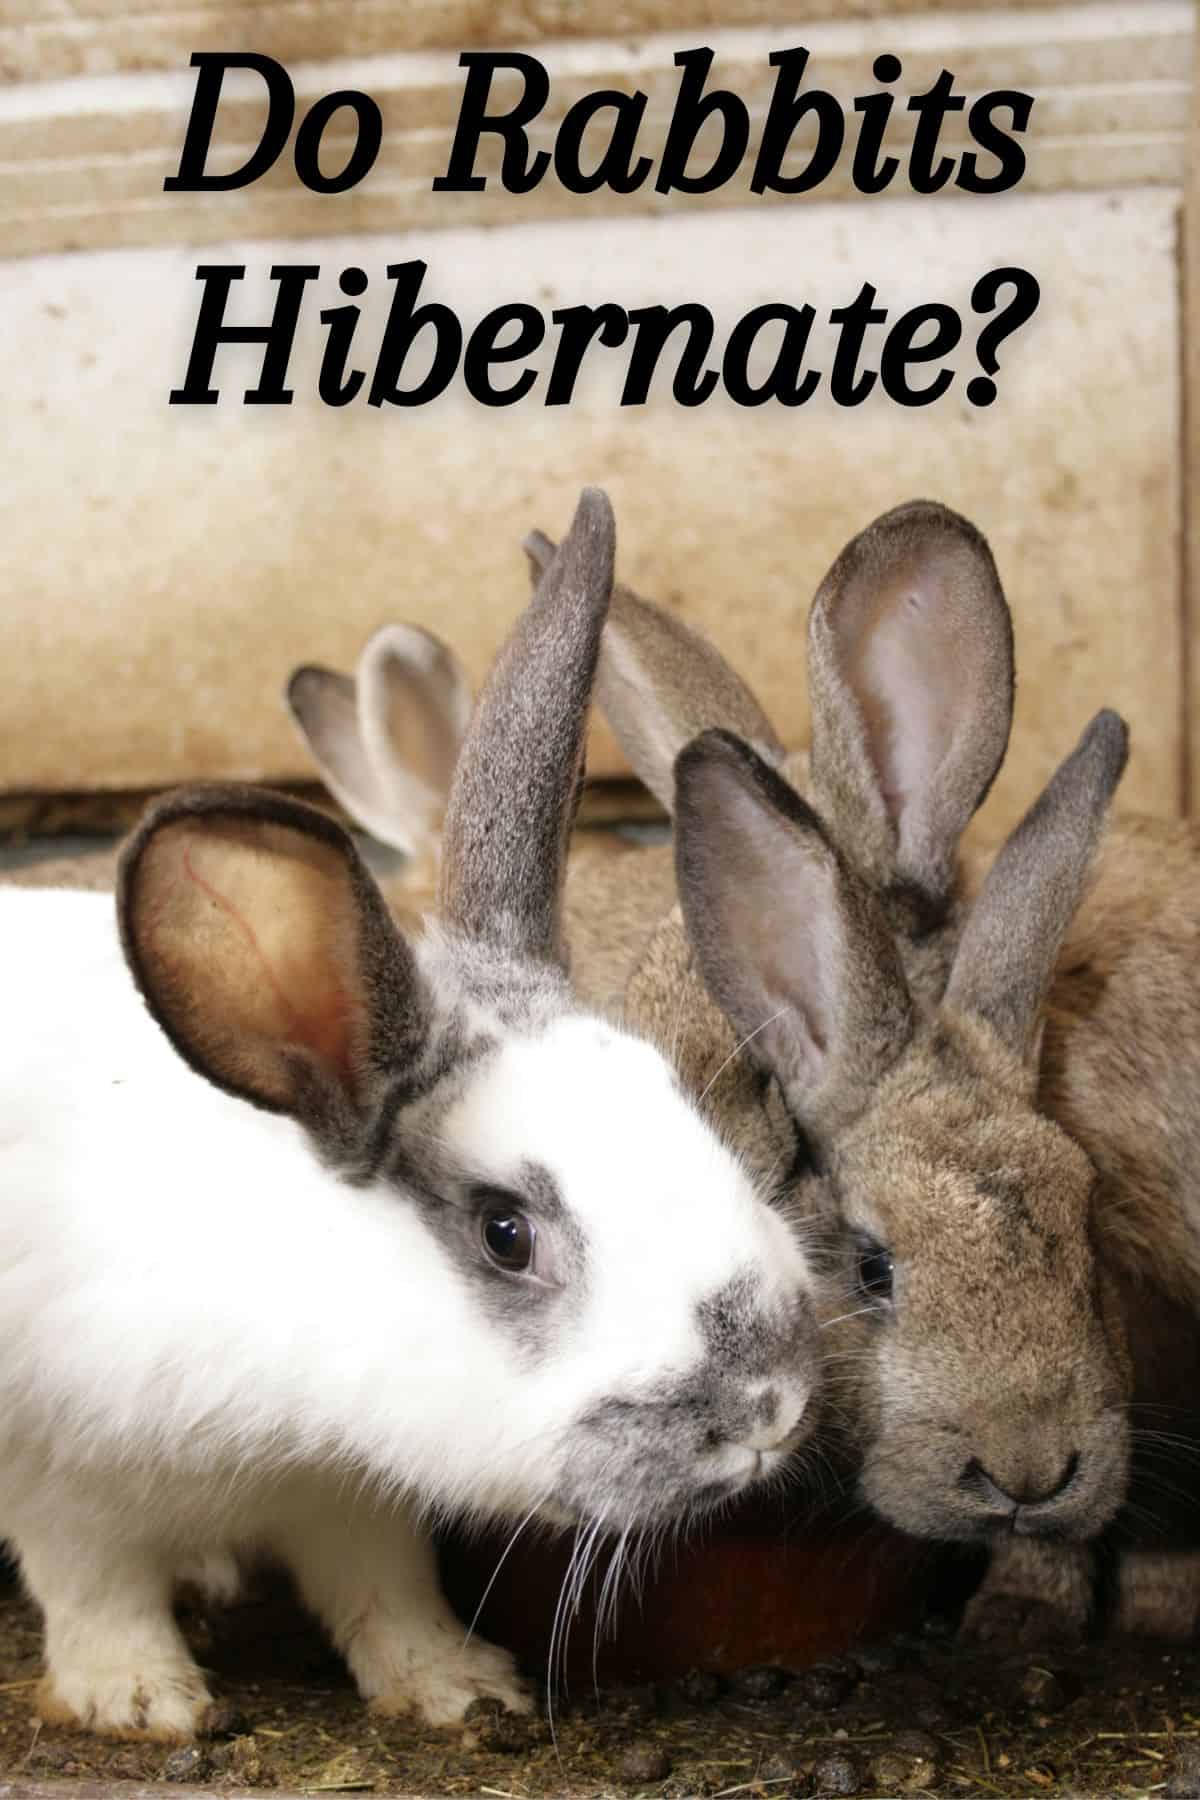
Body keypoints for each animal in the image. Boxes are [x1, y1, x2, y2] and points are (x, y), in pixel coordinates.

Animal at [0, 490, 821, 1743]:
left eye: (673, 1096)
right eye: (505, 1233)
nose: (773, 1405)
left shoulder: (347, 1492)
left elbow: (382, 1588)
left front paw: (459, 1688)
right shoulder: (64, 1472)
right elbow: (95, 1586)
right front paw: (143, 1700)